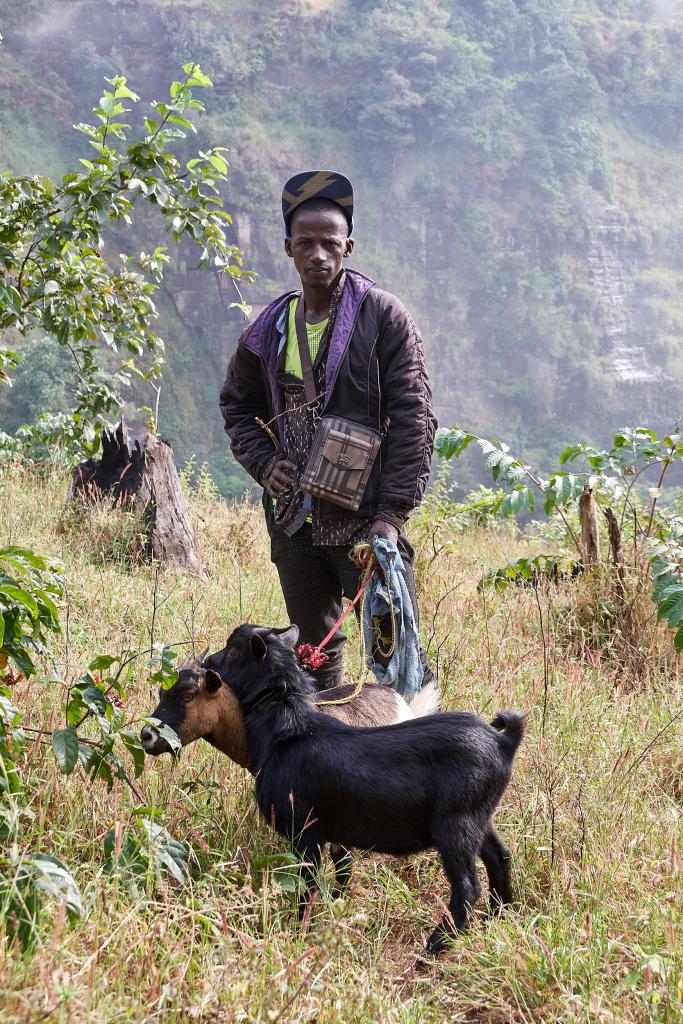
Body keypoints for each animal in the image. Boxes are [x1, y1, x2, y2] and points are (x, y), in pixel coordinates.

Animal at [219, 618, 524, 954]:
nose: (206, 665)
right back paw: (498, 917)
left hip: (457, 825)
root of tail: (504, 742)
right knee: (500, 856)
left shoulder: (305, 831)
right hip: (480, 817)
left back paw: (431, 950)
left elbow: (307, 884)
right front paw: (335, 910)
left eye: (231, 651)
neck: (288, 729)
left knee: (467, 888)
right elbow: (342, 871)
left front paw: (301, 932)